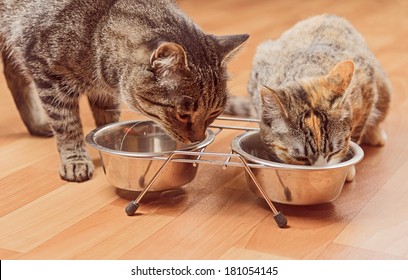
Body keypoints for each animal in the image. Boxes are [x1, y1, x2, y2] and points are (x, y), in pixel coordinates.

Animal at [0, 0, 249, 183]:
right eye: (183, 114)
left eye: (214, 113)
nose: (196, 138)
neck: (96, 29)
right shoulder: (49, 77)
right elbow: (68, 127)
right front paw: (75, 159)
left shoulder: (102, 93)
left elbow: (106, 119)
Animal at [236, 15, 388, 180]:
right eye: (301, 158)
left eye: (333, 152)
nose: (321, 172)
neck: (307, 71)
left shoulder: (366, 87)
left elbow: (356, 132)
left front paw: (348, 168)